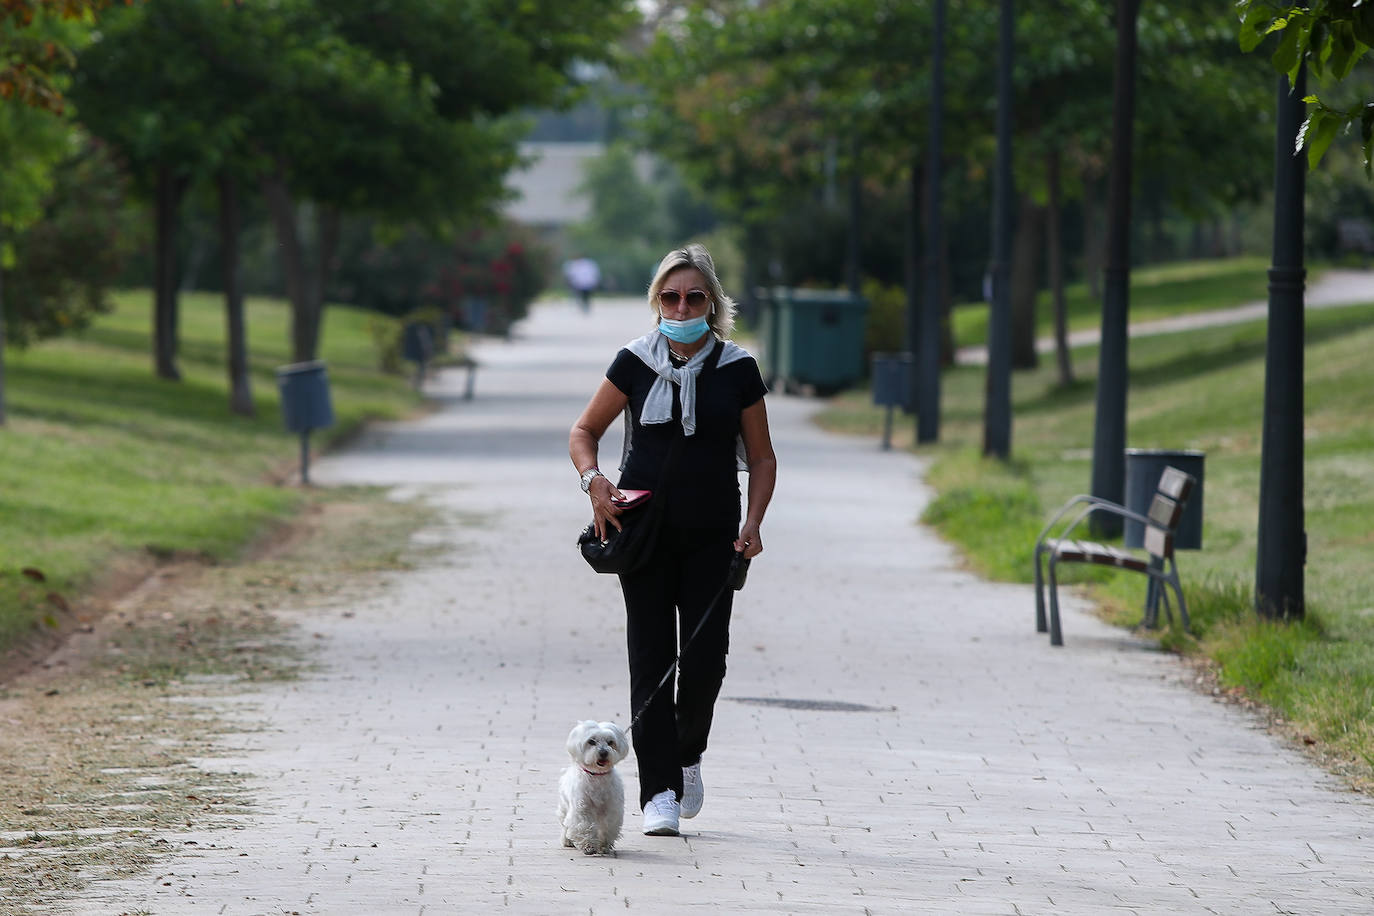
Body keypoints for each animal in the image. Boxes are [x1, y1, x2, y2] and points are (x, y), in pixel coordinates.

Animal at [555, 719, 629, 856]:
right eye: (591, 741)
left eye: (610, 742)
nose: (603, 752)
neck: (597, 775)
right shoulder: (582, 808)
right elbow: (583, 825)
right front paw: (588, 846)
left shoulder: (611, 808)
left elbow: (607, 826)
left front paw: (604, 846)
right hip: (564, 807)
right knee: (565, 824)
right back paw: (567, 840)